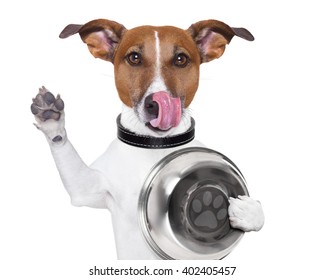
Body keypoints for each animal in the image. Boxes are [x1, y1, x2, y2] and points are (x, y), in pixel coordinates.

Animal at [31, 18, 264, 260]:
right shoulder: (87, 189)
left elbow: (259, 212)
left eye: (181, 59)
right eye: (134, 57)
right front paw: (51, 117)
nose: (156, 103)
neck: (155, 146)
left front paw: (247, 211)